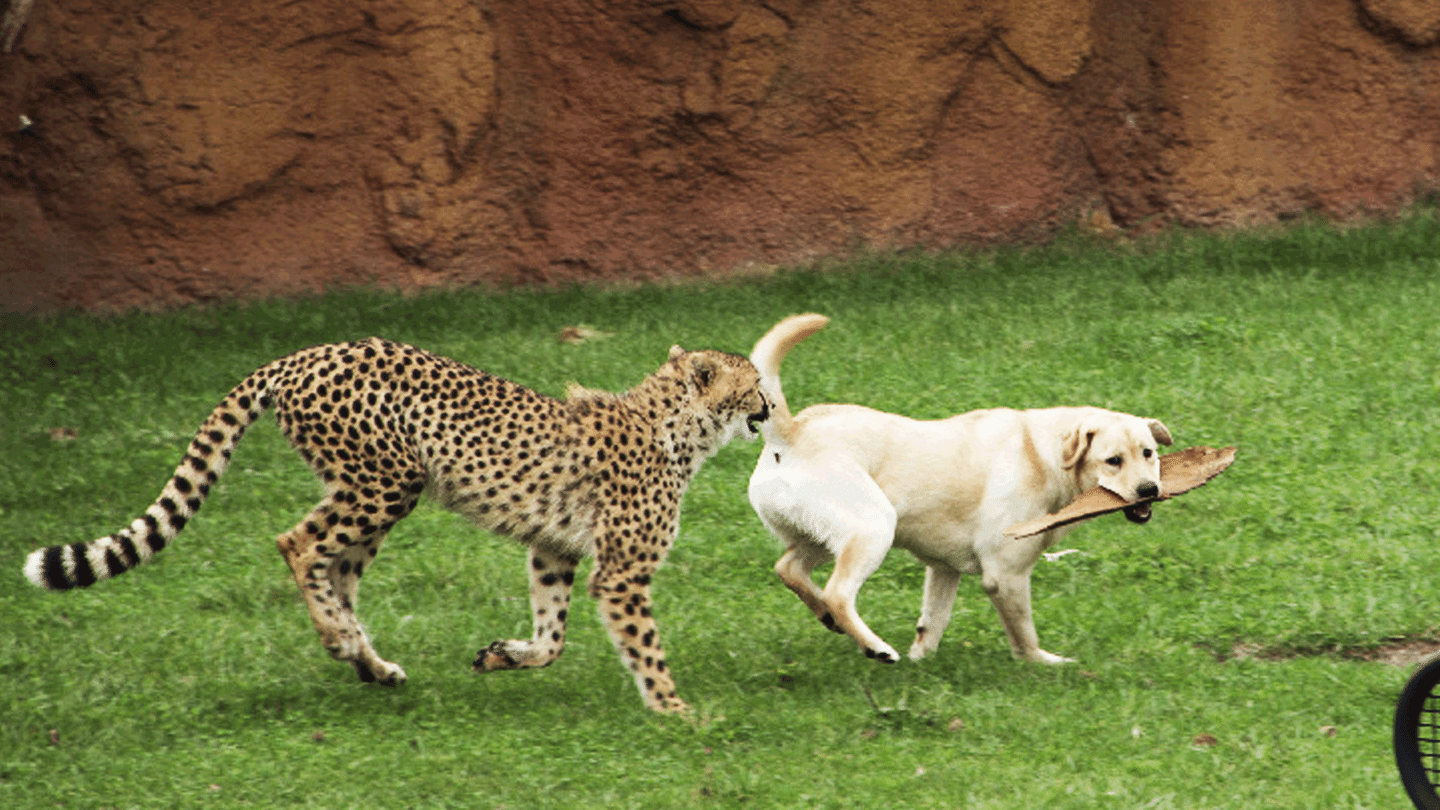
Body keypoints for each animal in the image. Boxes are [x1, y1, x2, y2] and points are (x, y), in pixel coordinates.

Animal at [22, 331, 771, 709]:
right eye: (754, 384)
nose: (769, 406)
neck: (676, 424)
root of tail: (304, 353)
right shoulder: (621, 573)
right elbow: (644, 647)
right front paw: (678, 712)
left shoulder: (552, 550)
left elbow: (552, 637)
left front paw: (504, 655)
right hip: (386, 480)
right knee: (297, 544)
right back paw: (340, 641)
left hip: (375, 490)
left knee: (337, 570)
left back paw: (368, 661)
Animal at [748, 314, 1175, 662]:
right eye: (1113, 460)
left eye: (1148, 453)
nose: (1149, 490)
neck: (1042, 454)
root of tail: (791, 431)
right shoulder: (1006, 574)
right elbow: (1024, 635)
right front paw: (1045, 664)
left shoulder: (943, 570)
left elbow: (932, 624)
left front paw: (922, 662)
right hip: (873, 527)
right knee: (838, 592)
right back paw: (876, 647)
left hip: (825, 536)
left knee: (789, 569)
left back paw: (829, 618)